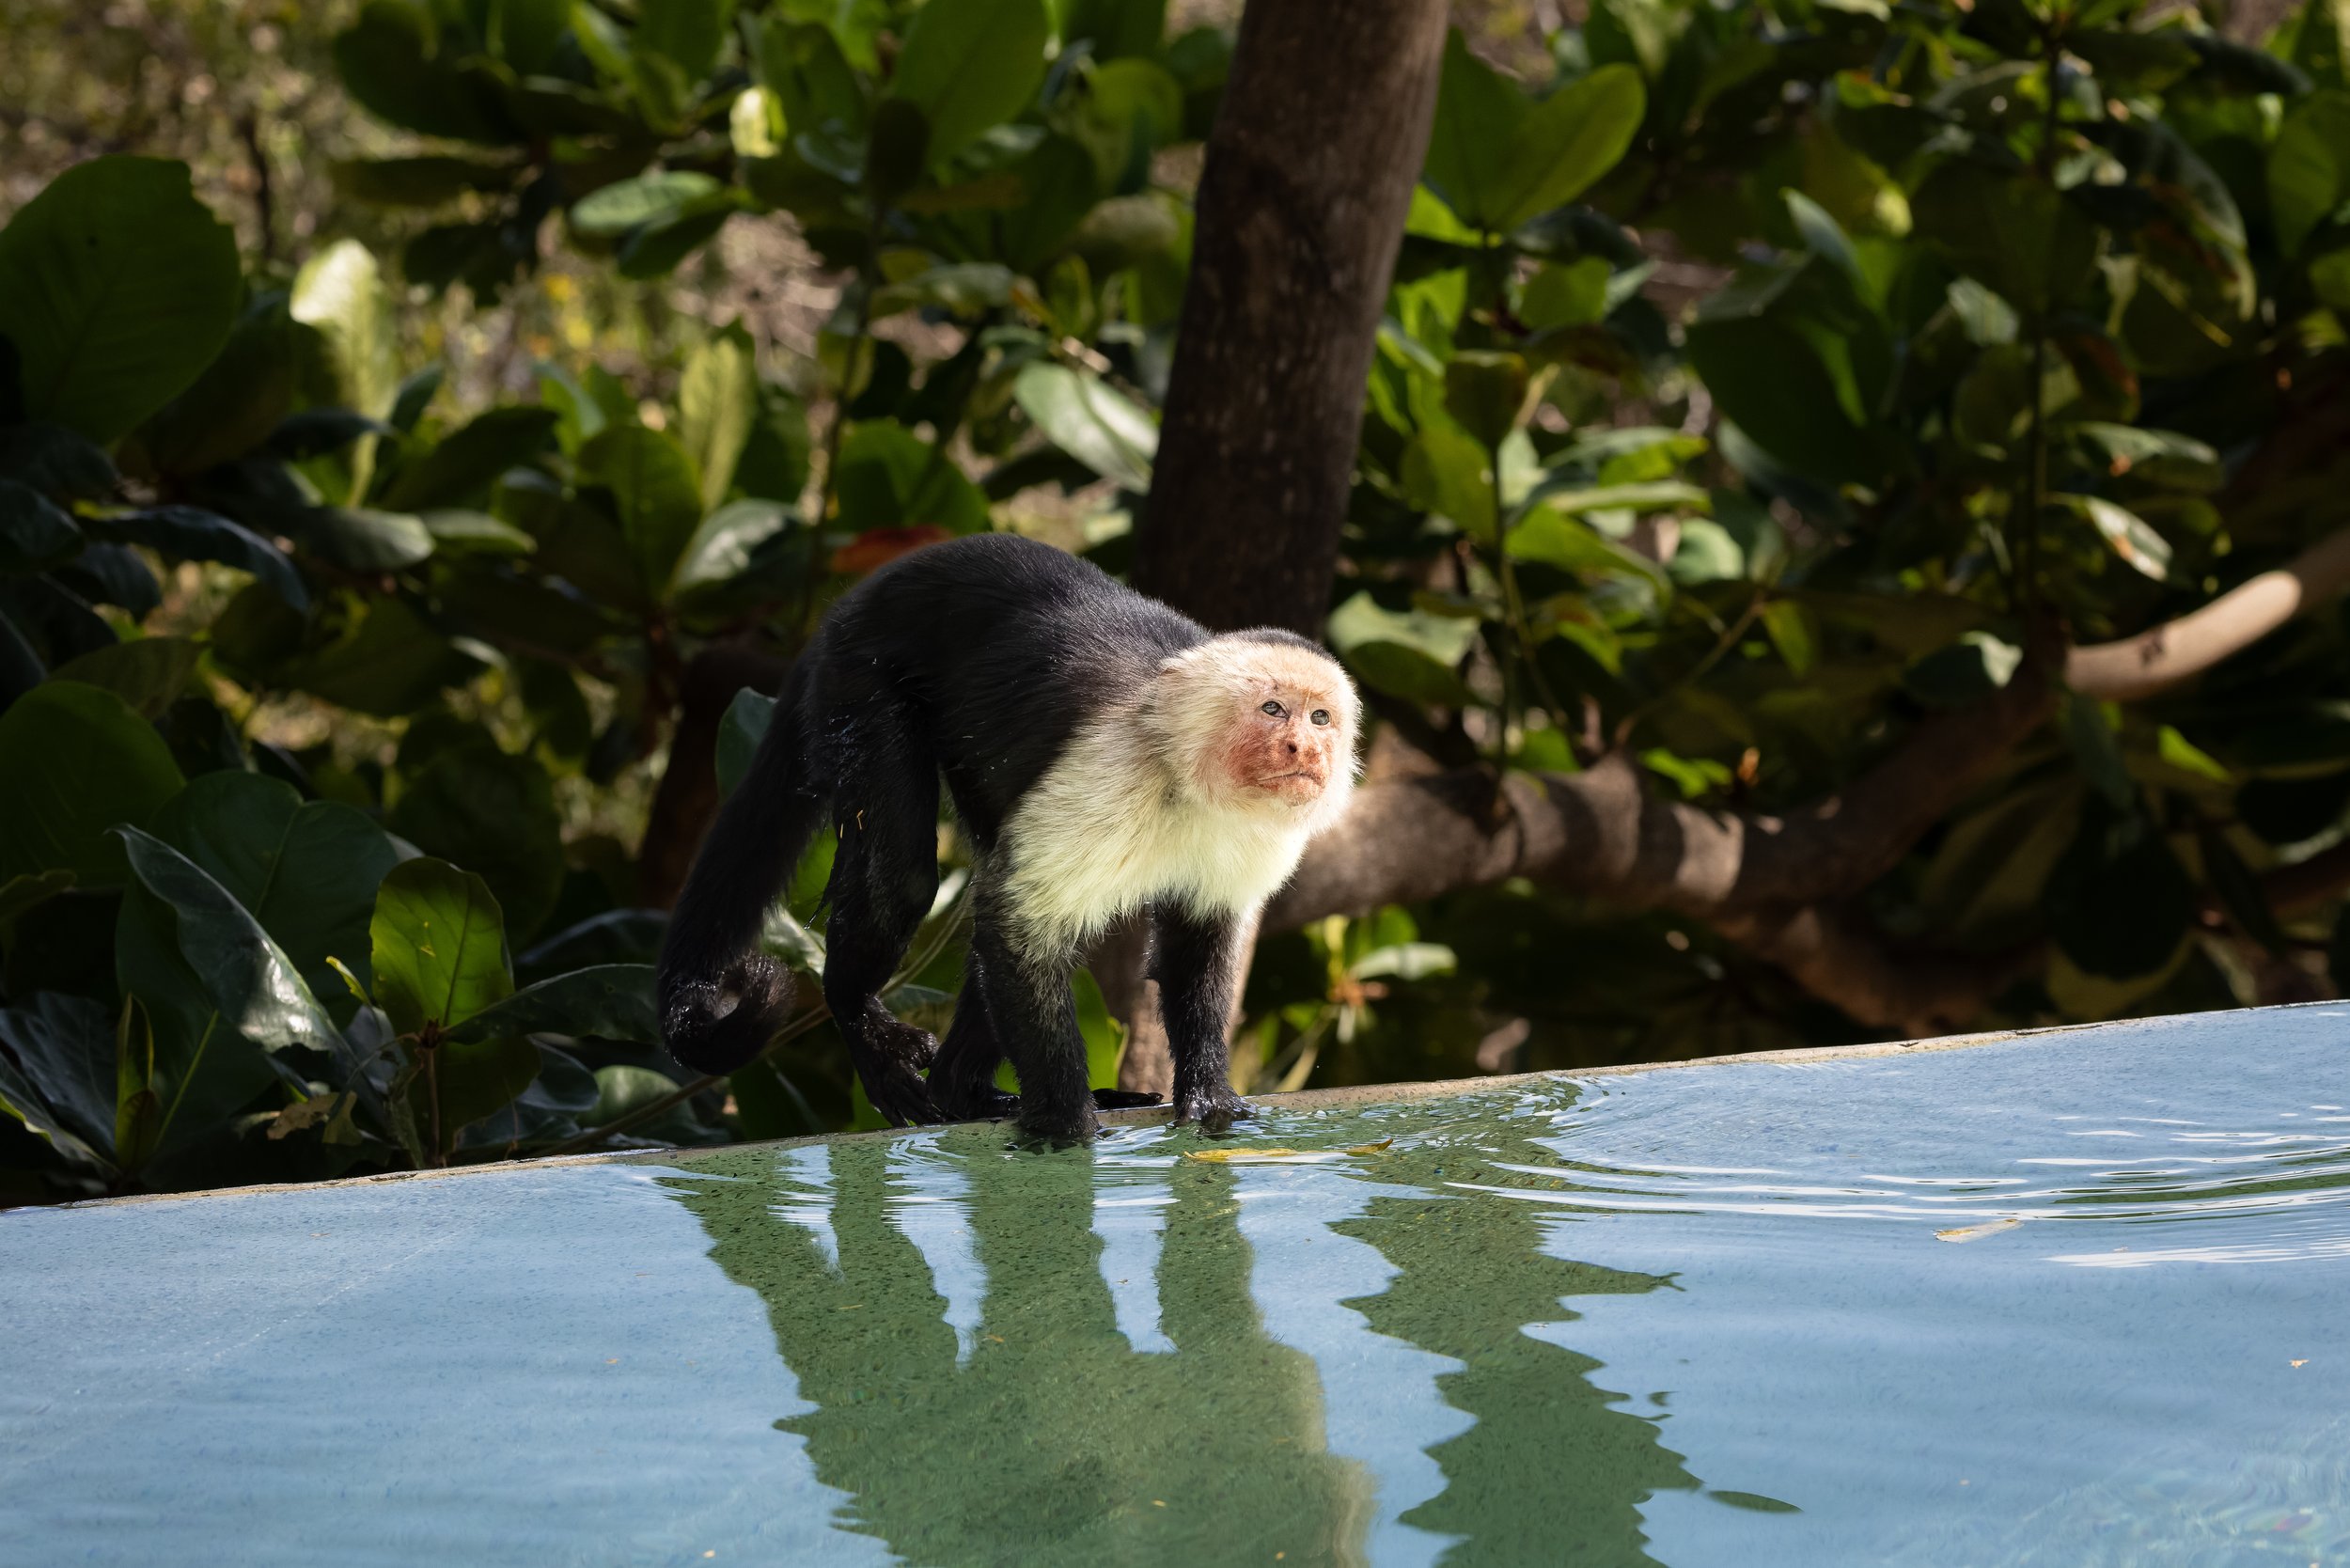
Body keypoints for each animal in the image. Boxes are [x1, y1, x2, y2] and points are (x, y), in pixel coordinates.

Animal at [657, 532, 1360, 1146]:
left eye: (1321, 717)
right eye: (1273, 709)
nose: (1305, 749)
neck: (1190, 783)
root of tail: (856, 597)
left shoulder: (1256, 839)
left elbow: (1195, 944)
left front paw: (1209, 1095)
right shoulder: (1112, 769)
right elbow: (1021, 922)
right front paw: (1064, 1125)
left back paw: (965, 1091)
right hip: (860, 675)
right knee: (907, 878)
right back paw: (859, 1019)